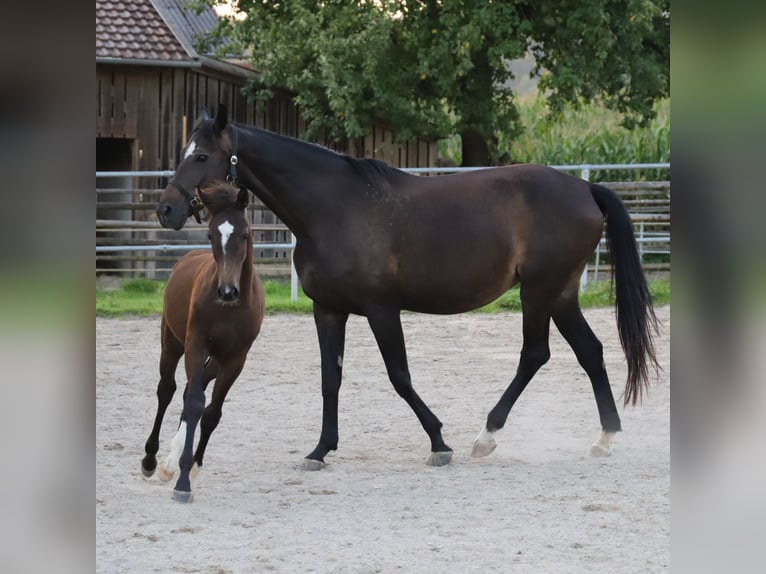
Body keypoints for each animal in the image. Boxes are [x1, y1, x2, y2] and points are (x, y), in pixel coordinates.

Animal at [142, 182, 266, 502]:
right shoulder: (196, 345)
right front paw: (182, 480)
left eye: (245, 233)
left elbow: (211, 413)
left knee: (189, 392)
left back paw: (170, 462)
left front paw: (192, 467)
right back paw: (151, 460)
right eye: (211, 234)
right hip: (172, 343)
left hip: (214, 360)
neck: (229, 309)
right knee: (167, 390)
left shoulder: (235, 358)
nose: (227, 291)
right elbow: (196, 403)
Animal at [156, 106, 660, 470]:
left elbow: (399, 375)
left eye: (201, 156)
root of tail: (585, 188)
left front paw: (439, 441)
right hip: (561, 293)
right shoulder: (328, 310)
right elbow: (330, 378)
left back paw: (486, 436)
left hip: (538, 292)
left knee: (535, 354)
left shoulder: (382, 309)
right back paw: (604, 439)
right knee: (590, 351)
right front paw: (320, 450)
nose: (166, 210)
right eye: (182, 150)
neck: (333, 208)